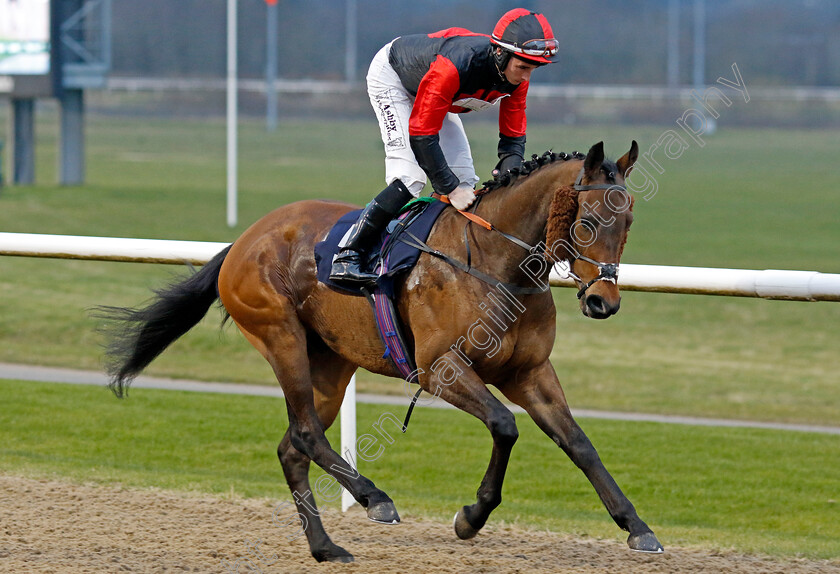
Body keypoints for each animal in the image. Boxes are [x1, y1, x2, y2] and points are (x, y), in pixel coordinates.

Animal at [98, 142, 664, 564]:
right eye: (588, 219)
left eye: (629, 220)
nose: (603, 301)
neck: (494, 264)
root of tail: (242, 240)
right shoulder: (441, 369)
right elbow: (505, 426)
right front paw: (471, 516)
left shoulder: (529, 372)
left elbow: (579, 442)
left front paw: (636, 526)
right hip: (280, 337)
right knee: (305, 434)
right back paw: (375, 499)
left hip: (331, 363)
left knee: (292, 446)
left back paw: (326, 547)